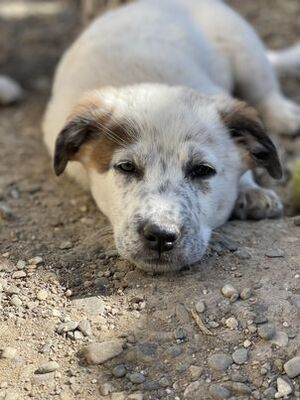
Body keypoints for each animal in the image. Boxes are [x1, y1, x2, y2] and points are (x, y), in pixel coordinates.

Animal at [42, 0, 300, 272]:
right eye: (126, 167)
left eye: (203, 170)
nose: (160, 235)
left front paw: (251, 191)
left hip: (244, 50)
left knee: (266, 91)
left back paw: (285, 115)